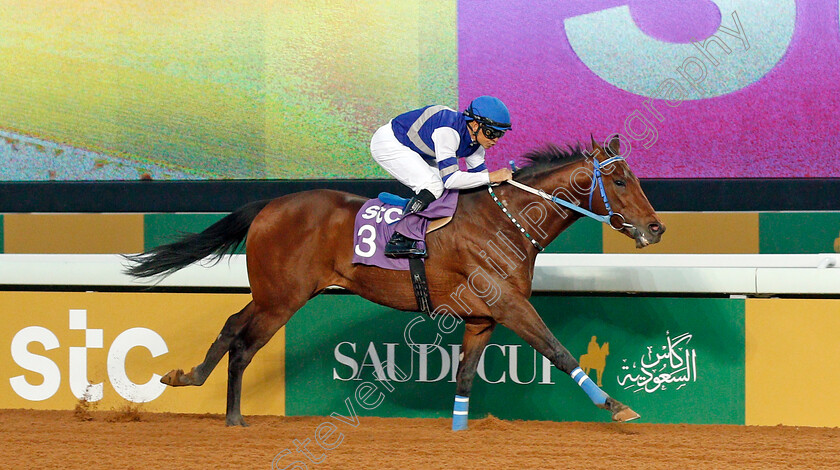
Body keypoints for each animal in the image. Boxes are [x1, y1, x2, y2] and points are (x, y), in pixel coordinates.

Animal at [123, 138, 664, 428]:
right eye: (619, 181)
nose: (656, 228)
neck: (506, 222)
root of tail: (269, 205)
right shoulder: (509, 304)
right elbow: (558, 350)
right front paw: (617, 407)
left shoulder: (483, 315)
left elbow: (465, 374)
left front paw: (458, 429)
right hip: (282, 298)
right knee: (242, 340)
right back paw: (230, 413)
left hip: (275, 295)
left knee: (233, 326)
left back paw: (195, 385)